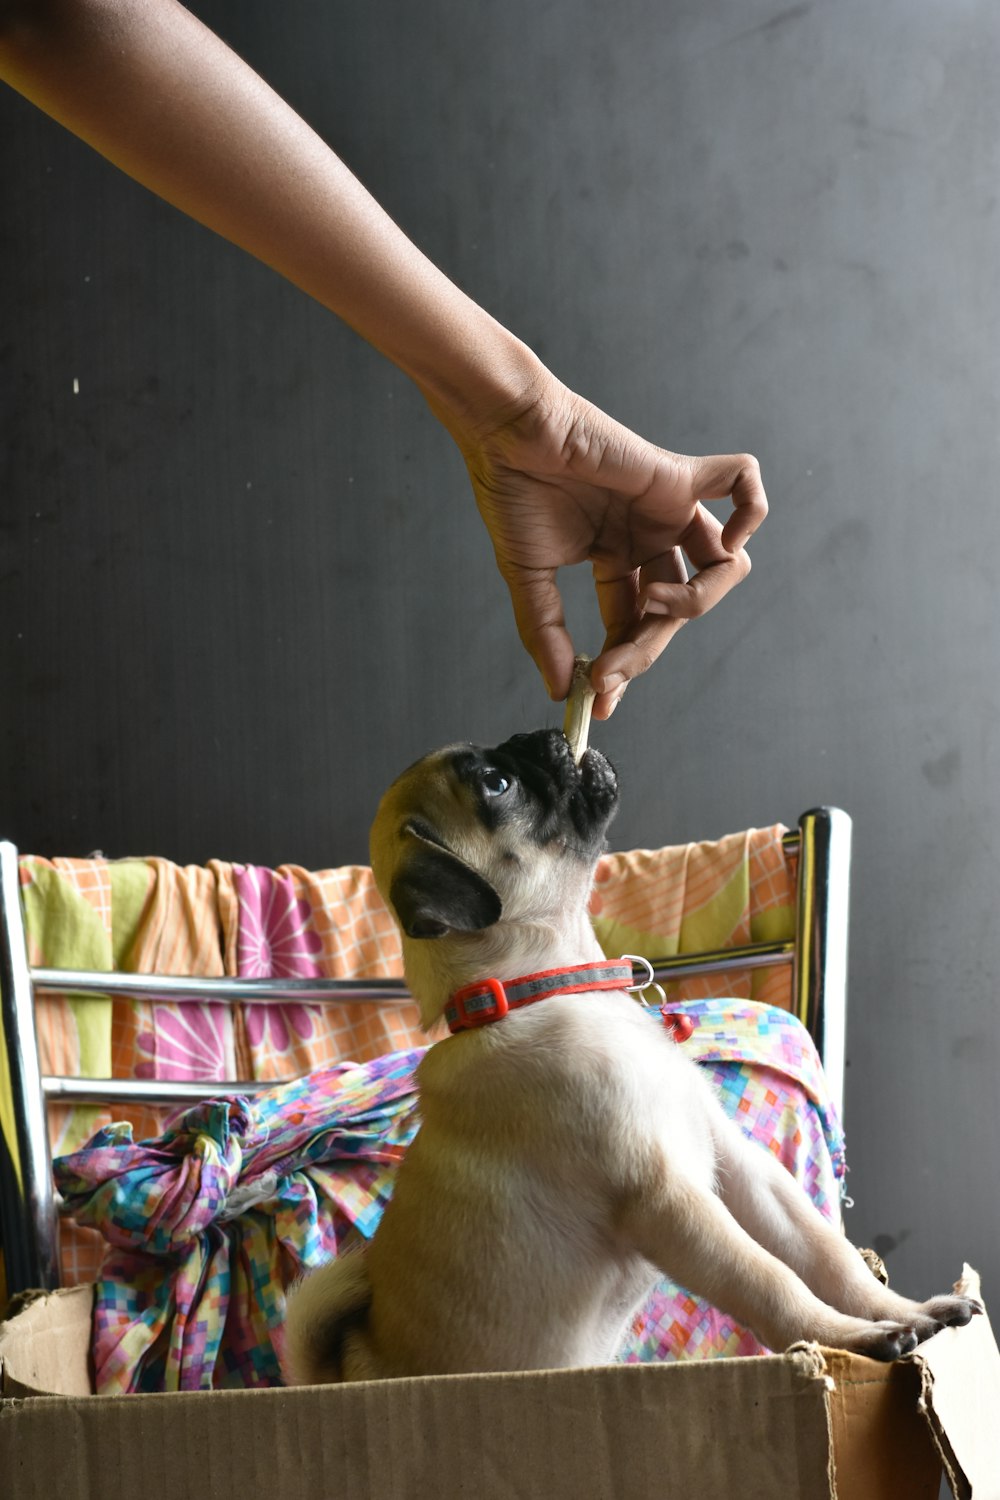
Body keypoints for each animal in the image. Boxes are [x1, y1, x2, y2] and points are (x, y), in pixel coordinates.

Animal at [283, 729, 983, 1380]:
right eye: (496, 784)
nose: (539, 736)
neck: (544, 988)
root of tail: (342, 1374)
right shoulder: (667, 1198)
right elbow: (771, 1280)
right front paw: (848, 1338)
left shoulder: (741, 1168)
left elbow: (827, 1255)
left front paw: (905, 1311)